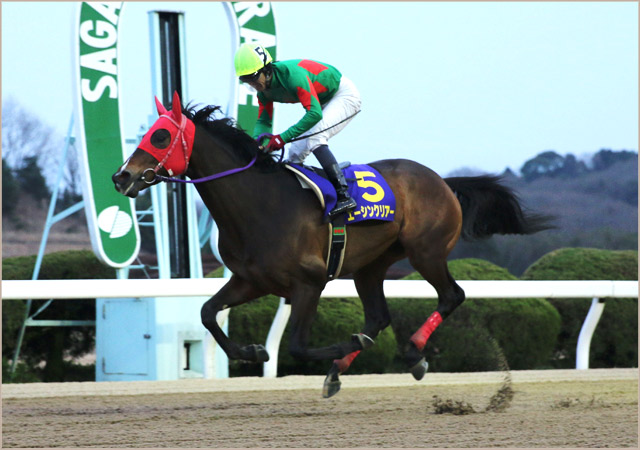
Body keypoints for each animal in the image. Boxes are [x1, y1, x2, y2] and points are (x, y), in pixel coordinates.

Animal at [112, 92, 552, 398]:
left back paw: (411, 352)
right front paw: (253, 352)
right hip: (372, 266)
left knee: (452, 295)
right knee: (378, 317)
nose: (121, 177)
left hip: (426, 252)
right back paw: (342, 369)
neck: (260, 205)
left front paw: (342, 344)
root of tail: (443, 181)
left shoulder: (309, 283)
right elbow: (206, 313)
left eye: (161, 135)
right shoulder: (251, 280)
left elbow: (297, 345)